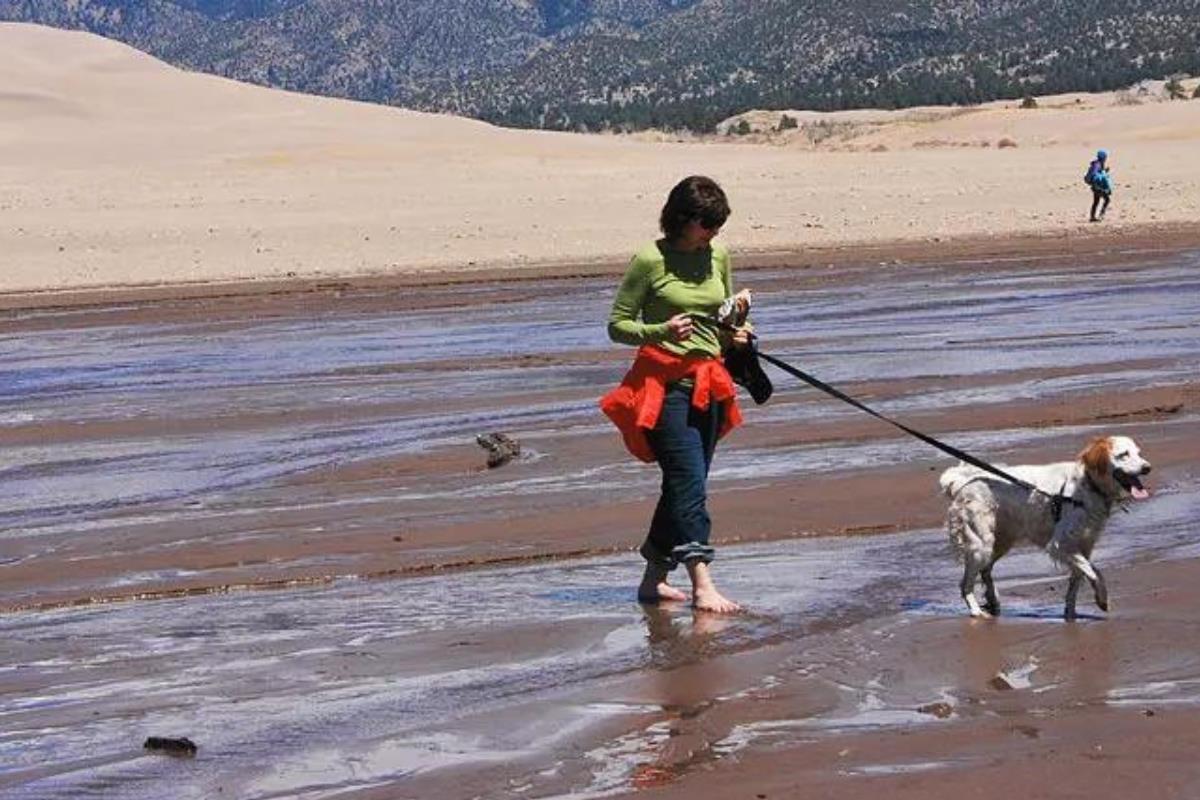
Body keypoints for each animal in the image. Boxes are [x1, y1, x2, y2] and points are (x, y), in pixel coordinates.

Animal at [936, 438, 1152, 618]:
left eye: (1138, 453)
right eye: (1124, 454)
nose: (1147, 467)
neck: (1087, 486)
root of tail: (964, 483)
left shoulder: (1083, 546)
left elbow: (1079, 578)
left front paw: (1070, 614)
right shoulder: (1060, 544)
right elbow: (1094, 572)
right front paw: (1102, 599)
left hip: (1000, 543)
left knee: (986, 571)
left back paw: (993, 600)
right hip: (981, 545)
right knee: (965, 584)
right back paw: (976, 611)